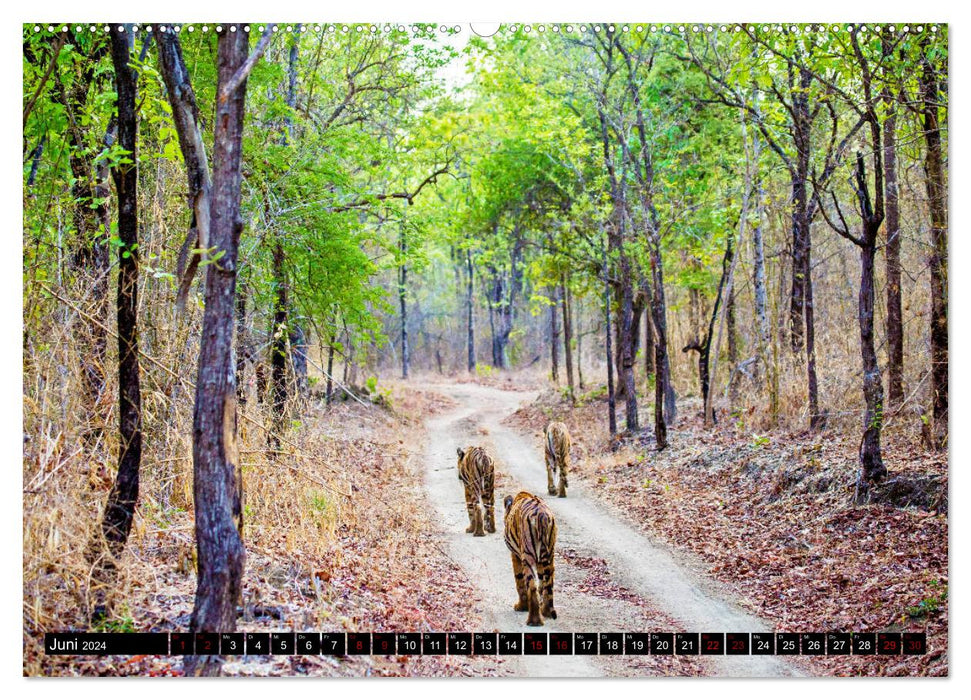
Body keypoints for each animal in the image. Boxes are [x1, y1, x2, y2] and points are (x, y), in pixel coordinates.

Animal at [504, 490, 560, 628]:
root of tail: (542, 516)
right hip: (550, 555)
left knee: (532, 586)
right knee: (548, 585)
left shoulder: (516, 555)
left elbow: (519, 581)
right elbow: (542, 585)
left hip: (527, 556)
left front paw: (521, 606)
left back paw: (534, 620)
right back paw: (545, 613)